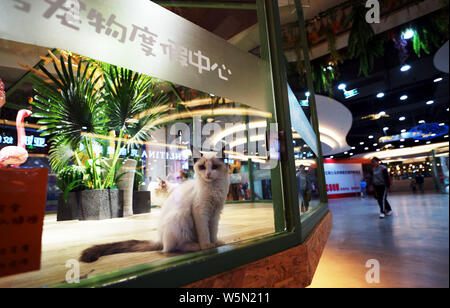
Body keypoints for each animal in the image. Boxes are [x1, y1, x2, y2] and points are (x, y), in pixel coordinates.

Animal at [79, 152, 230, 262]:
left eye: (214, 167)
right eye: (202, 167)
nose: (208, 174)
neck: (213, 189)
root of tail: (159, 238)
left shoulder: (215, 213)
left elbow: (213, 232)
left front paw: (216, 243)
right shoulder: (201, 212)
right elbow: (204, 233)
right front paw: (207, 246)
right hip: (180, 218)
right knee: (173, 248)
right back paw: (196, 246)